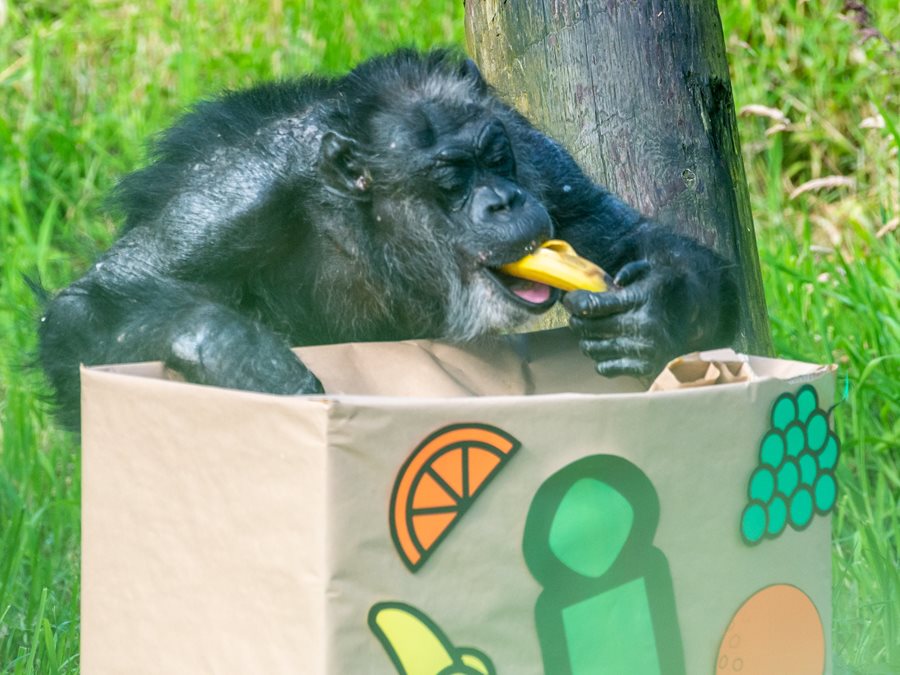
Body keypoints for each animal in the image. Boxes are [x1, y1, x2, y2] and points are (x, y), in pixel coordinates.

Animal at [37, 50, 740, 428]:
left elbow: (623, 234)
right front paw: (238, 357)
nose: (505, 200)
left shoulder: (537, 155)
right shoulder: (234, 198)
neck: (372, 229)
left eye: (496, 158)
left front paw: (653, 310)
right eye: (452, 177)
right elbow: (88, 305)